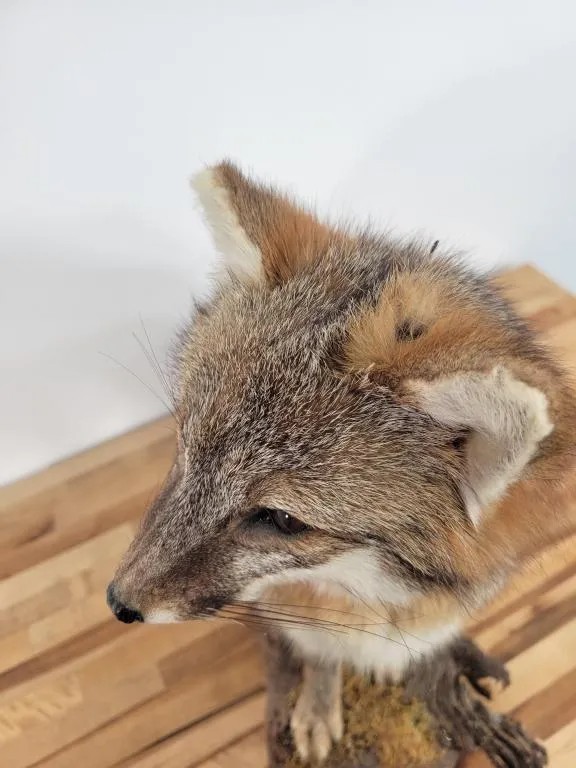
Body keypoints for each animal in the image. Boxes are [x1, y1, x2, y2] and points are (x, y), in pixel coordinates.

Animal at [108, 161, 576, 764]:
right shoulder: (303, 621)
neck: (363, 597)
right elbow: (321, 658)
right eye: (185, 448)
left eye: (281, 519)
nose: (118, 603)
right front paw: (316, 705)